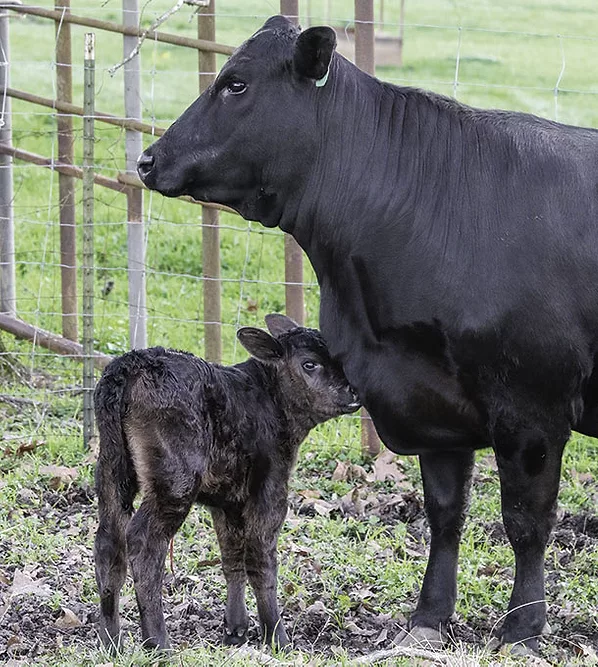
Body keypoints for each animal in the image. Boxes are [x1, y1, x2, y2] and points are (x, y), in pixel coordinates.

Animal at [136, 15, 598, 655]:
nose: (147, 159)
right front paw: (429, 616)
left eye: (236, 84)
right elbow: (445, 512)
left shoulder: (534, 408)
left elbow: (527, 522)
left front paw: (523, 627)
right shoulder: (433, 403)